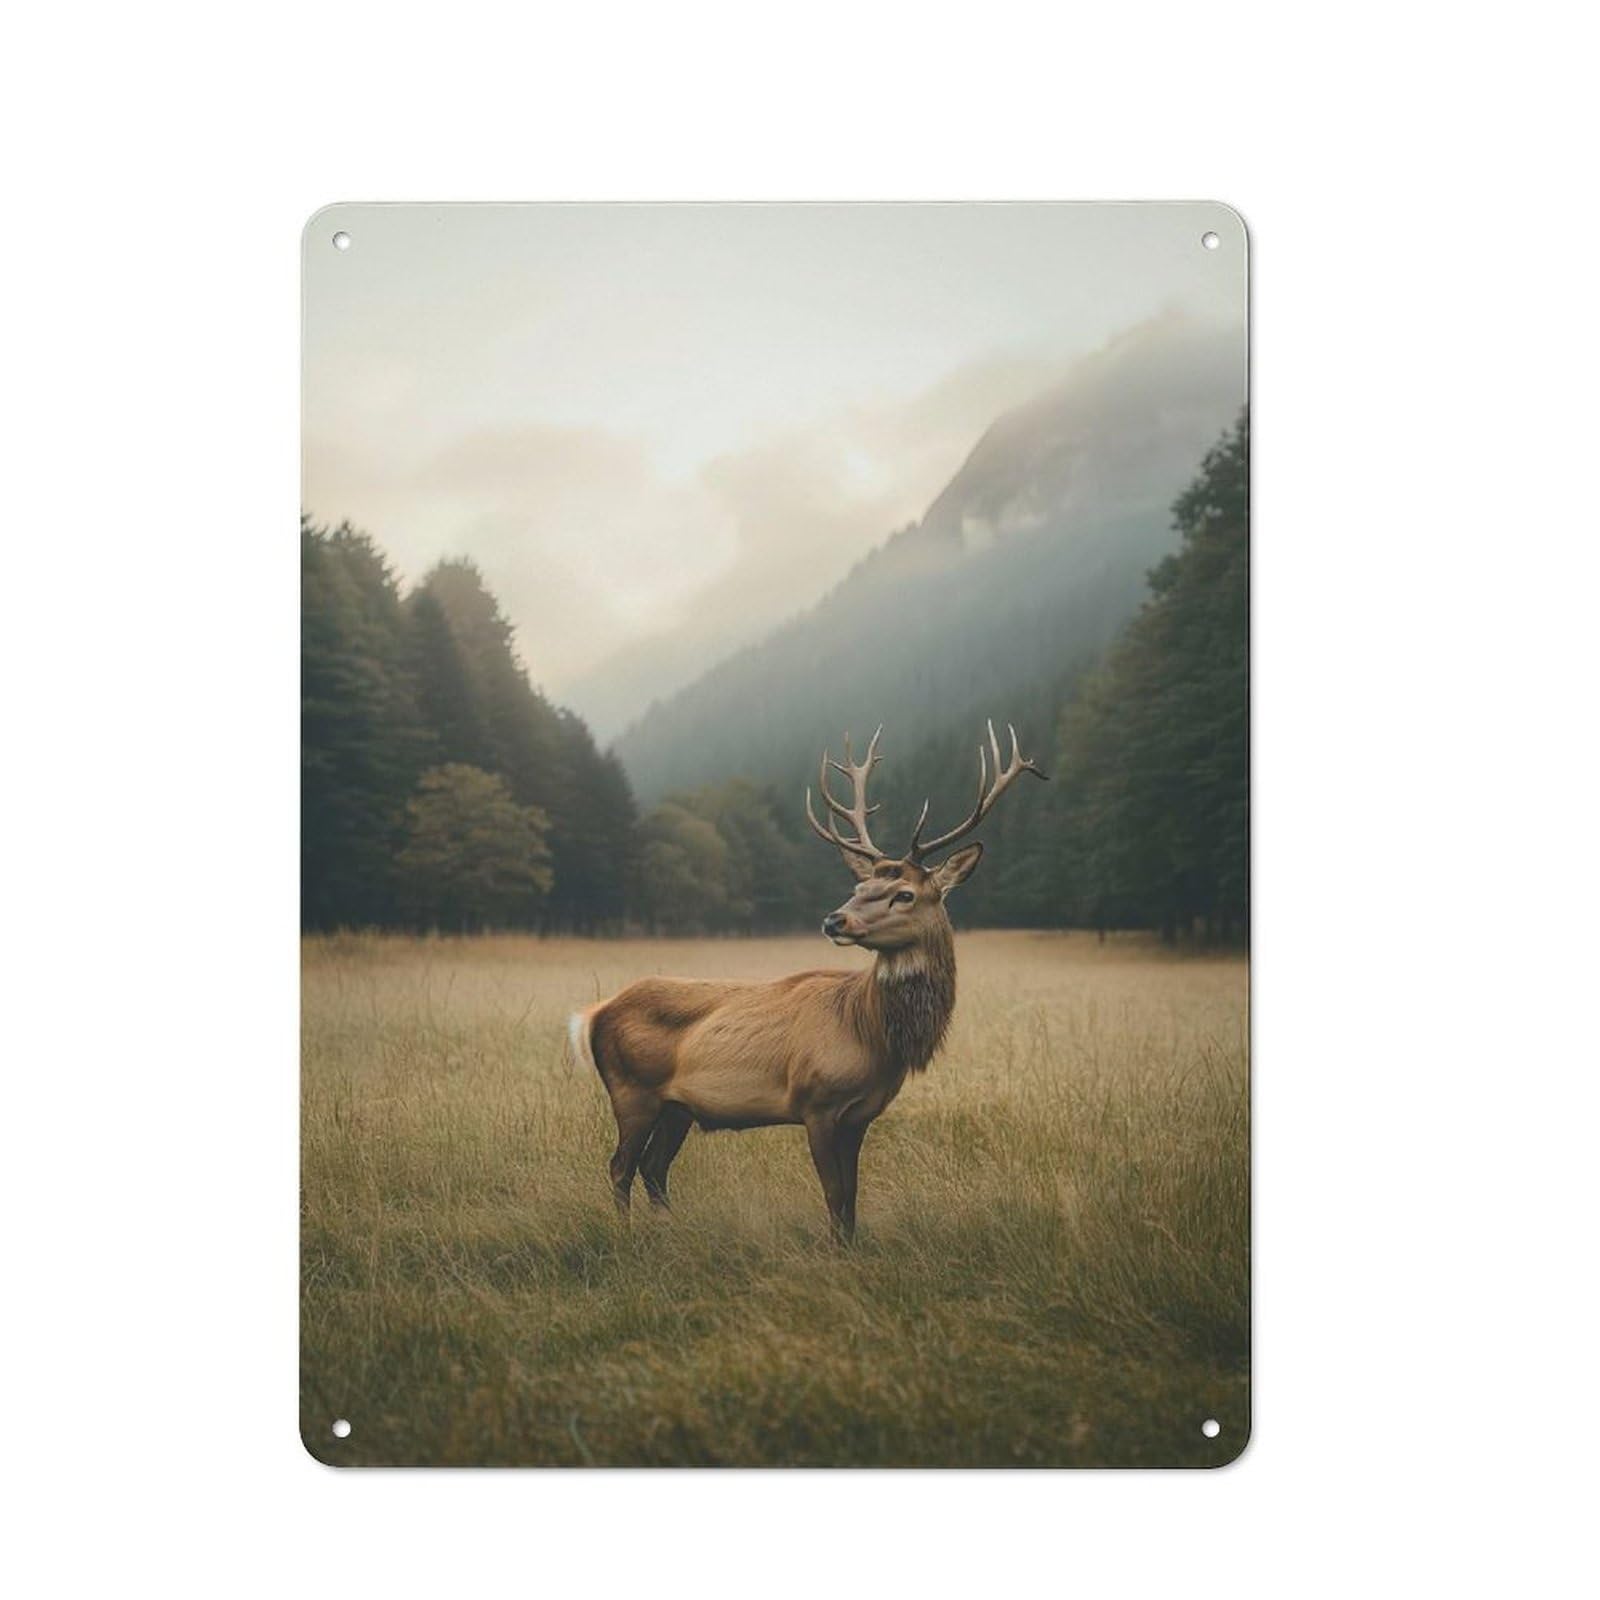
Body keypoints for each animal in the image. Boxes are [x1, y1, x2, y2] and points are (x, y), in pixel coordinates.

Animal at [568, 721, 1045, 1241]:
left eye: (904, 893)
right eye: (860, 886)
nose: (834, 920)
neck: (871, 1035)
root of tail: (595, 1013)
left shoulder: (861, 1115)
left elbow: (852, 1199)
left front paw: (850, 1247)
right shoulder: (815, 1101)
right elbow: (834, 1196)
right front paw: (836, 1250)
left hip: (678, 1107)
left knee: (654, 1167)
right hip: (631, 1090)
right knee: (620, 1166)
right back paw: (626, 1233)